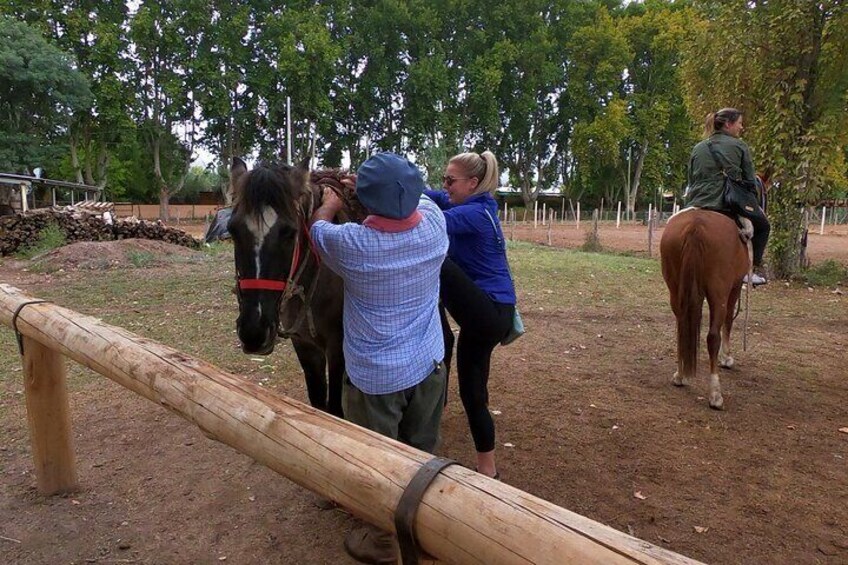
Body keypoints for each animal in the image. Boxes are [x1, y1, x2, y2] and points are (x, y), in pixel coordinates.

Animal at [225, 156, 362, 416]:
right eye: (232, 231)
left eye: (289, 232)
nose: (254, 331)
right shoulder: (304, 345)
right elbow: (318, 404)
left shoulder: (338, 347)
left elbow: (335, 409)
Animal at [664, 209, 748, 408]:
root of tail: (696, 225)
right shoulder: (735, 287)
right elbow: (728, 322)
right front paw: (726, 358)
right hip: (719, 293)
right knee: (713, 336)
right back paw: (715, 394)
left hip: (676, 290)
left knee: (682, 329)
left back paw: (680, 375)